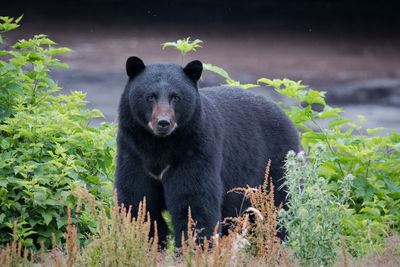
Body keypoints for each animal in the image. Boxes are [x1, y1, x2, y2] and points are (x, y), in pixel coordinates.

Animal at [114, 57, 298, 249]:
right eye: (150, 96)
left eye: (176, 97)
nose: (163, 122)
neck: (159, 145)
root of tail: (284, 115)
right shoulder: (133, 152)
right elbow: (137, 200)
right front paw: (144, 241)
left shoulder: (195, 150)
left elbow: (194, 201)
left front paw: (195, 247)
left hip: (273, 164)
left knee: (276, 208)